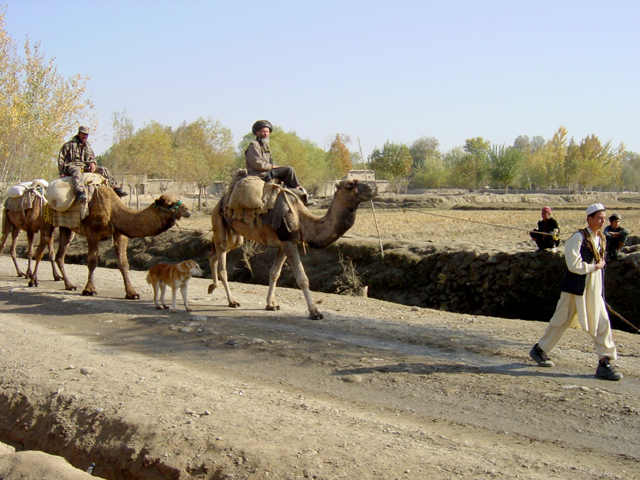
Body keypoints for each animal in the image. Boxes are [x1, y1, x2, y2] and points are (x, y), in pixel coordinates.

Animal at [31, 187, 190, 296]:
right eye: (169, 204)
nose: (187, 209)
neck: (113, 211)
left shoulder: (119, 233)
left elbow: (124, 263)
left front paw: (132, 293)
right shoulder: (93, 233)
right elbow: (92, 262)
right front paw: (90, 290)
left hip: (67, 228)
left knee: (60, 255)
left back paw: (69, 285)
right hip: (47, 222)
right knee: (40, 250)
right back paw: (33, 281)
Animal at [208, 179, 378, 318]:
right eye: (349, 185)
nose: (372, 188)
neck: (302, 220)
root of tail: (219, 203)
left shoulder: (286, 243)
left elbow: (274, 273)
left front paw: (271, 305)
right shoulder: (288, 241)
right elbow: (302, 278)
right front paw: (315, 312)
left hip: (236, 237)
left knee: (214, 254)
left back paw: (212, 287)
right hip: (220, 223)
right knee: (222, 264)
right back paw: (232, 301)